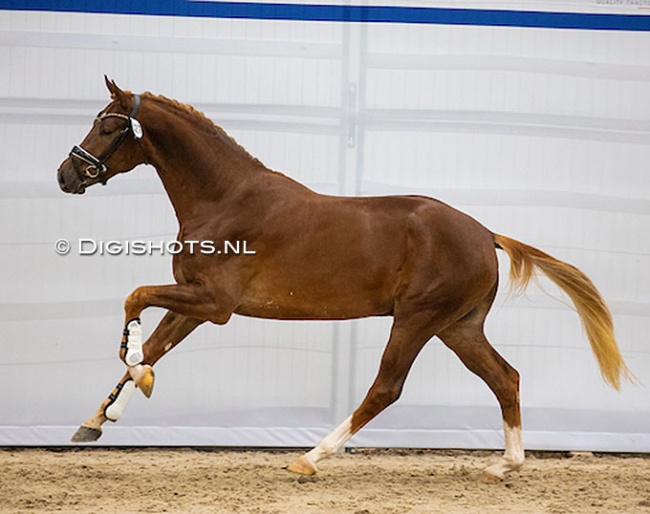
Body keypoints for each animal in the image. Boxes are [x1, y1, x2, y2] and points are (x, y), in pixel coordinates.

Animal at [57, 78, 628, 478]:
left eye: (107, 128)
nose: (65, 175)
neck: (225, 198)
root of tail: (486, 234)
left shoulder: (214, 304)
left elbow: (134, 303)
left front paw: (128, 379)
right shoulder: (196, 303)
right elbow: (155, 346)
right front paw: (98, 420)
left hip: (418, 320)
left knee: (386, 388)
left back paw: (311, 457)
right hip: (458, 327)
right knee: (505, 378)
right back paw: (504, 465)